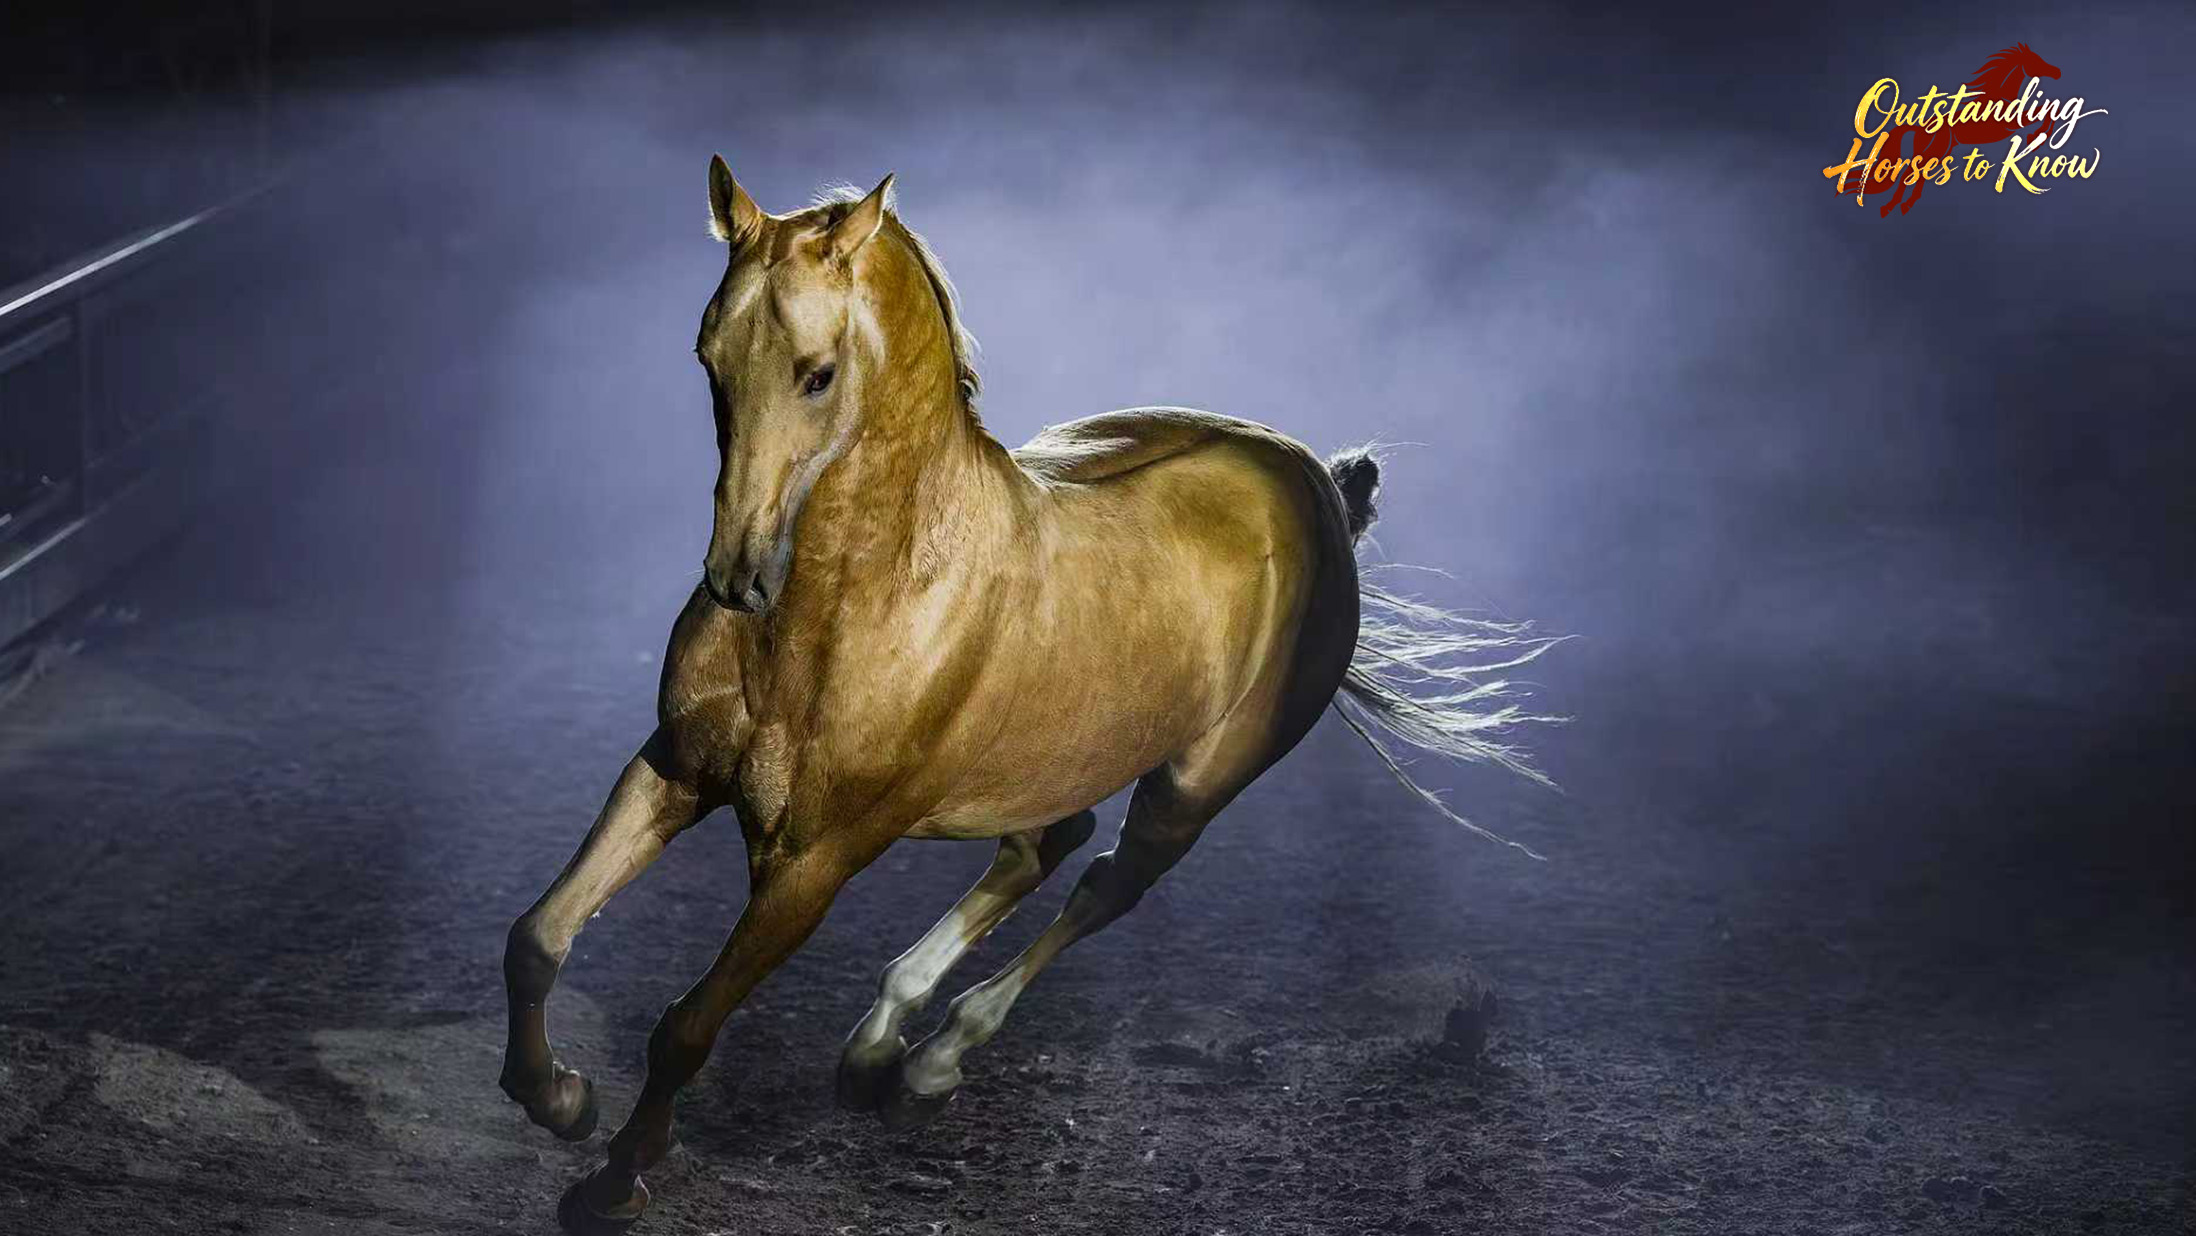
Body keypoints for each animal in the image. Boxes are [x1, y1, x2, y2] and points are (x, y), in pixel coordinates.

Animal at [499, 159, 1562, 1234]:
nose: (736, 578)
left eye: (816, 373)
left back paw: (931, 1066)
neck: (854, 598)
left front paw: (610, 1181)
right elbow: (537, 936)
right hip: (1053, 754)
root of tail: (1317, 484)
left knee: (1108, 882)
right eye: (707, 357)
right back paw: (877, 1051)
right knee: (1045, 846)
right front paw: (556, 1098)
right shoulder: (673, 770)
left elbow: (686, 1027)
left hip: (1197, 784)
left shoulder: (814, 861)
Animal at [1840, 43, 2060, 217]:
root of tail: (1920, 127)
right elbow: (2044, 111)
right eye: (2035, 60)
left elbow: (2046, 110)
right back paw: (1891, 206)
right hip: (1933, 151)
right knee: (1909, 173)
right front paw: (2036, 135)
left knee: (1918, 173)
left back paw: (1905, 205)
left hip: (1938, 153)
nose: (2057, 72)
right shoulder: (2011, 123)